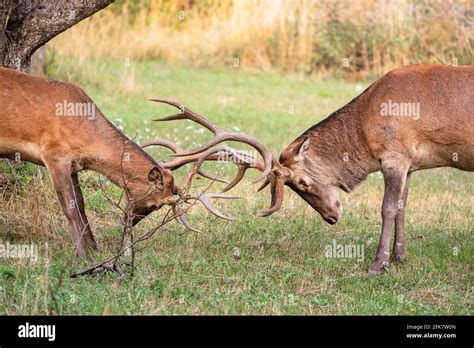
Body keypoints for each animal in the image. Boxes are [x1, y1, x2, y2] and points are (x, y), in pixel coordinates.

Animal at [0, 67, 272, 258]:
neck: (82, 130)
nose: (129, 221)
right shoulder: (54, 155)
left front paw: (95, 250)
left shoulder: (74, 165)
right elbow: (69, 208)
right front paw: (82, 257)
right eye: (156, 204)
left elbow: (82, 206)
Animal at [173, 62, 470, 274]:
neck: (365, 125)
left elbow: (387, 208)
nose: (331, 217)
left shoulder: (394, 156)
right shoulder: (409, 163)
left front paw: (378, 264)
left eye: (302, 182)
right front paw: (399, 257)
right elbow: (401, 207)